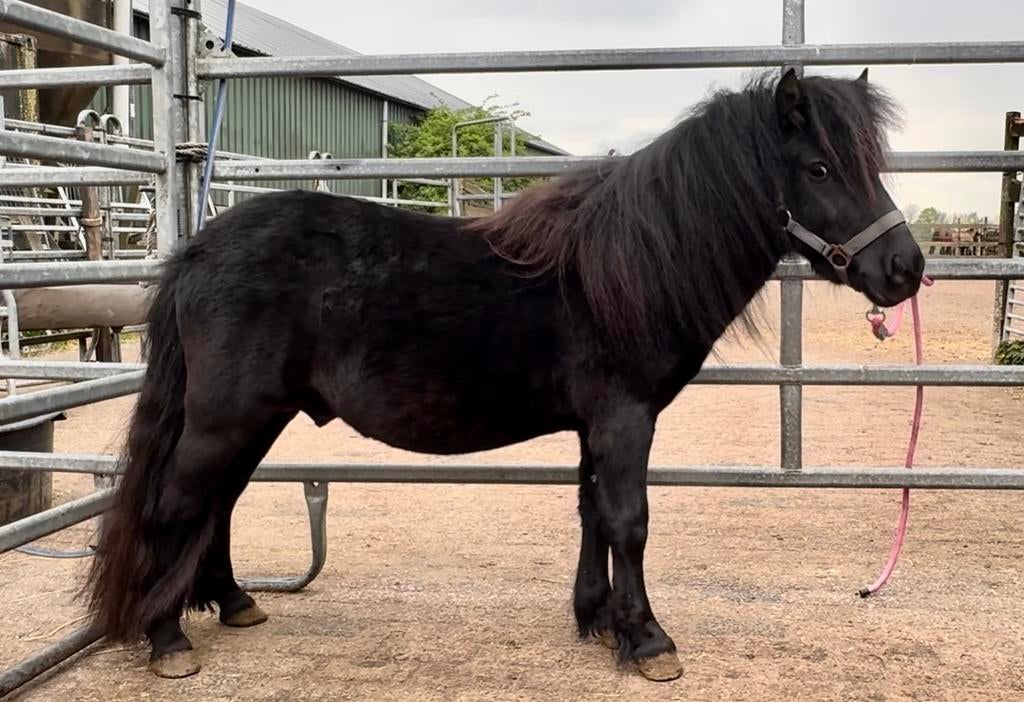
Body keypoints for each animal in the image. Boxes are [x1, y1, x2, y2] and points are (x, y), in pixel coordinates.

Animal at [84, 68, 925, 683]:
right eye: (820, 166)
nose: (905, 269)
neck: (619, 271)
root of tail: (200, 246)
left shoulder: (596, 426)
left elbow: (592, 513)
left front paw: (597, 620)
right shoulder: (626, 418)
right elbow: (629, 520)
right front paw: (648, 641)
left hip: (258, 416)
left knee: (218, 504)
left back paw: (232, 603)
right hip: (226, 416)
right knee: (178, 503)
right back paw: (166, 639)